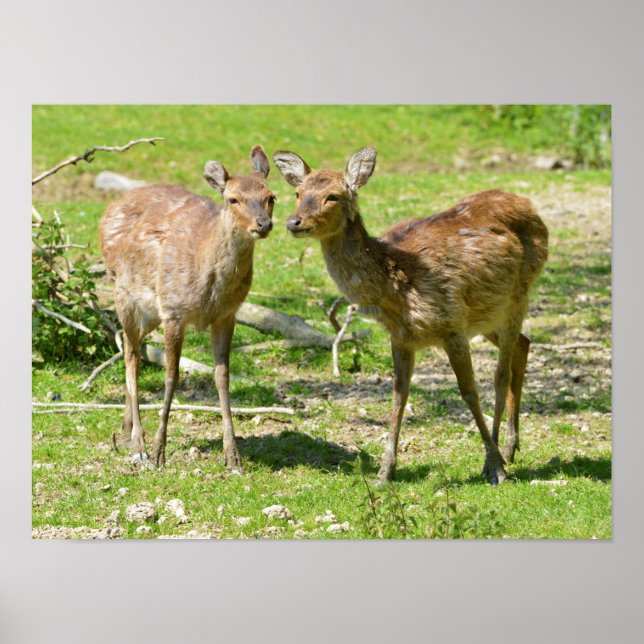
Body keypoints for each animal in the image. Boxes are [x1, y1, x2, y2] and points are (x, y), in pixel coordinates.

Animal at [99, 145, 275, 471]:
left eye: (271, 196)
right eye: (233, 199)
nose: (263, 224)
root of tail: (107, 211)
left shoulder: (227, 314)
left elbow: (222, 377)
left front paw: (233, 457)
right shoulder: (174, 311)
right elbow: (172, 376)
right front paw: (159, 452)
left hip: (148, 313)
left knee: (132, 347)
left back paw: (126, 431)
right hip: (123, 293)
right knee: (131, 357)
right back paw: (139, 444)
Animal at [273, 147, 548, 485]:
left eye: (333, 196)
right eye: (298, 193)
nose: (293, 221)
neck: (397, 289)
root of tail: (530, 206)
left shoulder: (451, 323)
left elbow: (469, 391)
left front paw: (495, 466)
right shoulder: (402, 335)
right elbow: (398, 394)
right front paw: (384, 472)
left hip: (518, 294)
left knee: (501, 373)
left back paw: (499, 455)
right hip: (485, 313)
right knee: (524, 344)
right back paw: (509, 449)